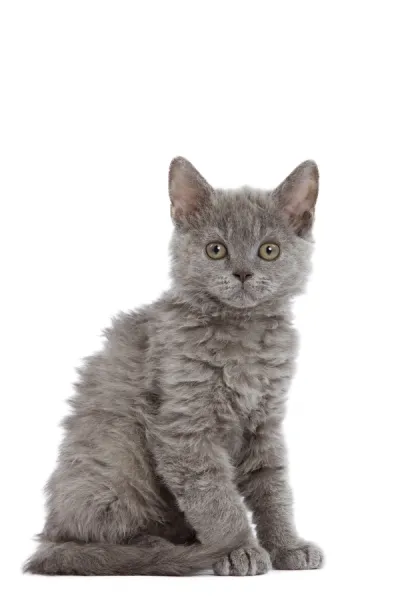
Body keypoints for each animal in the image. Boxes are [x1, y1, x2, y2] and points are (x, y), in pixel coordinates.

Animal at [24, 157, 324, 576]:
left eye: (269, 250)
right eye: (215, 250)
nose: (242, 273)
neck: (242, 334)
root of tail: (48, 535)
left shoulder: (265, 423)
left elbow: (273, 487)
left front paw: (287, 545)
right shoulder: (184, 428)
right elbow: (216, 499)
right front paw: (238, 549)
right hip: (118, 453)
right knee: (94, 540)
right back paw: (156, 551)